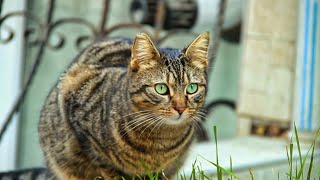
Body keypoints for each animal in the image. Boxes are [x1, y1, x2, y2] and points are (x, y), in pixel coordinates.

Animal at [38, 31, 210, 179]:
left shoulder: (164, 170)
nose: (180, 108)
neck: (161, 140)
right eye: (161, 88)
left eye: (192, 88)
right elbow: (105, 166)